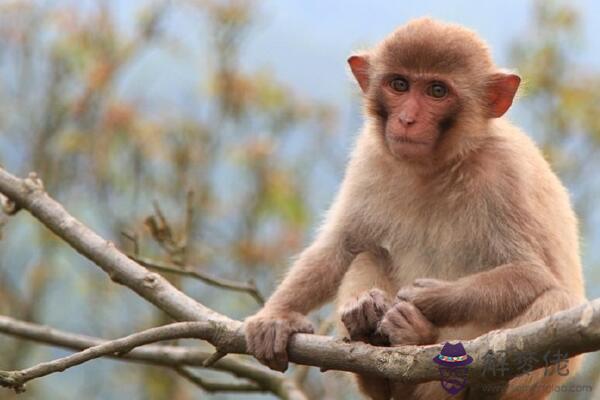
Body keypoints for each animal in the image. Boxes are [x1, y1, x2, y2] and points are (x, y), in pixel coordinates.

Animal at [243, 17, 580, 398]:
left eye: (437, 91)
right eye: (399, 85)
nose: (406, 119)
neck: (435, 166)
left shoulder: (505, 172)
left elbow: (533, 273)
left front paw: (430, 298)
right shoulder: (371, 157)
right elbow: (341, 246)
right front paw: (276, 316)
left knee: (558, 301)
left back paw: (425, 340)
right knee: (368, 252)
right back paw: (372, 342)